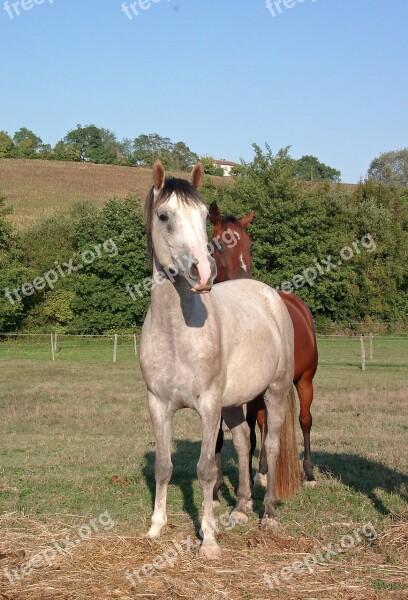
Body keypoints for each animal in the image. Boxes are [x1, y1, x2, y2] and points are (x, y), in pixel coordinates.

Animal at [210, 202, 318, 496]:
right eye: (218, 244)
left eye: (250, 244)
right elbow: (220, 435)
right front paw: (216, 488)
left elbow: (249, 432)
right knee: (264, 424)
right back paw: (262, 472)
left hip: (304, 381)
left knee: (303, 420)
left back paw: (307, 473)